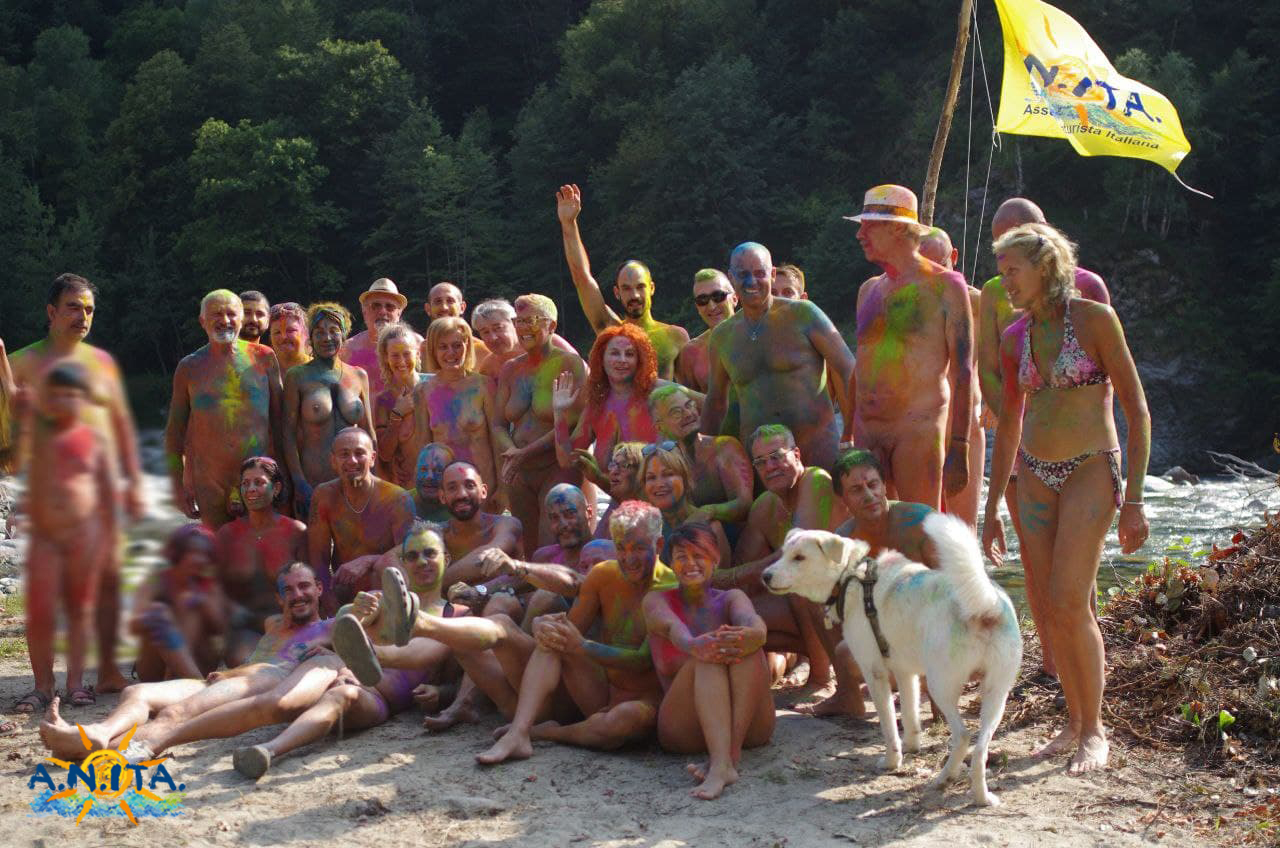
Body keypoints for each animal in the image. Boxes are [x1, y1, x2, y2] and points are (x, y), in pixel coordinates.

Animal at [757, 514, 1018, 809]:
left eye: (799, 557)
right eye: (783, 554)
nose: (765, 576)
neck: (851, 578)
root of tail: (986, 605)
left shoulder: (875, 673)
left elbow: (889, 724)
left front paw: (893, 761)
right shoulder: (906, 674)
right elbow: (910, 715)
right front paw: (912, 747)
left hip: (942, 686)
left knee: (963, 735)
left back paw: (945, 779)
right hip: (996, 695)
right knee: (980, 748)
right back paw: (980, 795)